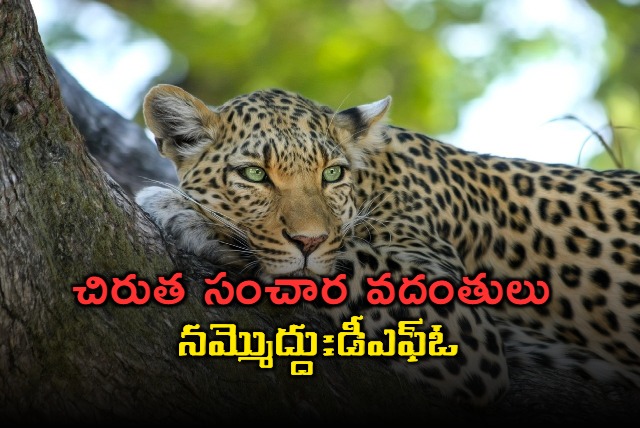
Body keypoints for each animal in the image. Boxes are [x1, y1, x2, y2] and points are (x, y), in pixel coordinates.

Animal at [135, 83, 640, 407]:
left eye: (331, 174)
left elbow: (344, 258)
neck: (373, 180)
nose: (308, 240)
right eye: (255, 174)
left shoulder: (457, 327)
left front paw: (187, 213)